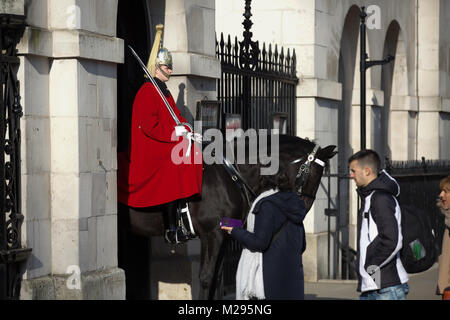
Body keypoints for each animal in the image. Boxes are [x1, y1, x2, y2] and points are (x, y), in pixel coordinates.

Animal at [118, 134, 336, 298]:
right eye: (313, 173)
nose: (303, 209)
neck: (231, 174)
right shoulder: (212, 235)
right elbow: (206, 278)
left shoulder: (225, 235)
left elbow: (217, 277)